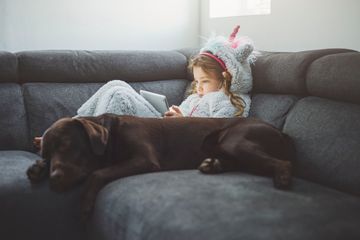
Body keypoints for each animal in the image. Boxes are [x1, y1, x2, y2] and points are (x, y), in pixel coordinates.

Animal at [26, 113, 296, 218]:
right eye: (47, 153)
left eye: (67, 145)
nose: (54, 179)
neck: (112, 136)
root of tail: (281, 132)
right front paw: (37, 168)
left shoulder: (144, 159)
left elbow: (98, 173)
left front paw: (85, 204)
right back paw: (213, 165)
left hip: (235, 140)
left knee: (282, 162)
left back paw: (283, 177)